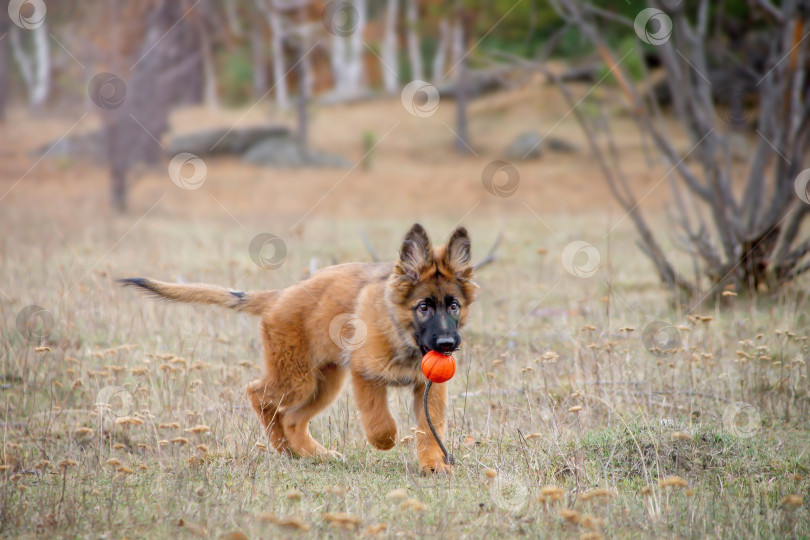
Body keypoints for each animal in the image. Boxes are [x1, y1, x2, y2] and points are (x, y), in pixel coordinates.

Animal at [117, 224, 476, 472]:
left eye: (453, 305)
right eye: (423, 307)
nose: (447, 345)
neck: (402, 333)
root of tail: (278, 296)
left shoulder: (428, 388)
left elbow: (429, 428)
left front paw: (433, 464)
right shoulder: (365, 375)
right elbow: (380, 424)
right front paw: (386, 441)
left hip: (324, 381)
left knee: (292, 419)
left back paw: (311, 453)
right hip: (297, 378)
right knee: (258, 395)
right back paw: (284, 449)